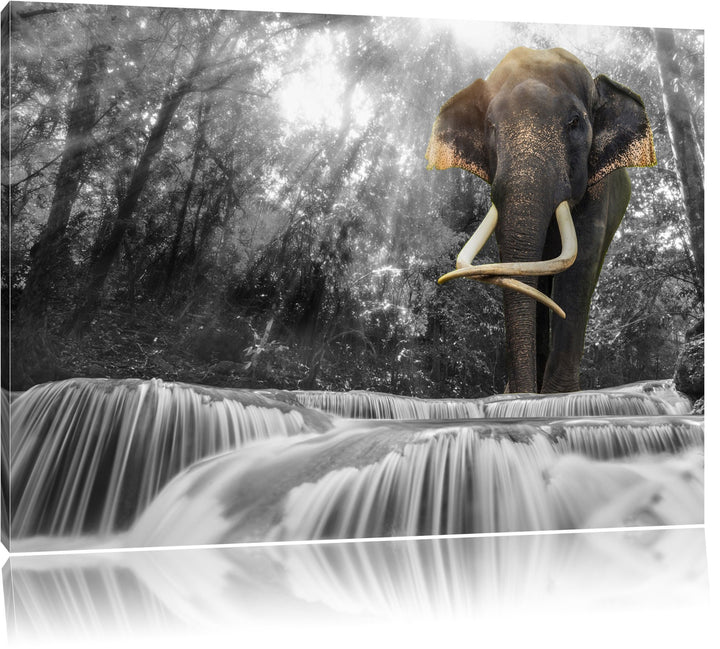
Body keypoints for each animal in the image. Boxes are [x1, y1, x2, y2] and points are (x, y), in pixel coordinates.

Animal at [426, 47, 656, 394]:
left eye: (574, 122)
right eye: (491, 126)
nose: (516, 392)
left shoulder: (597, 189)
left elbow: (580, 265)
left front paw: (557, 396)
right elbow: (515, 267)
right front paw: (521, 393)